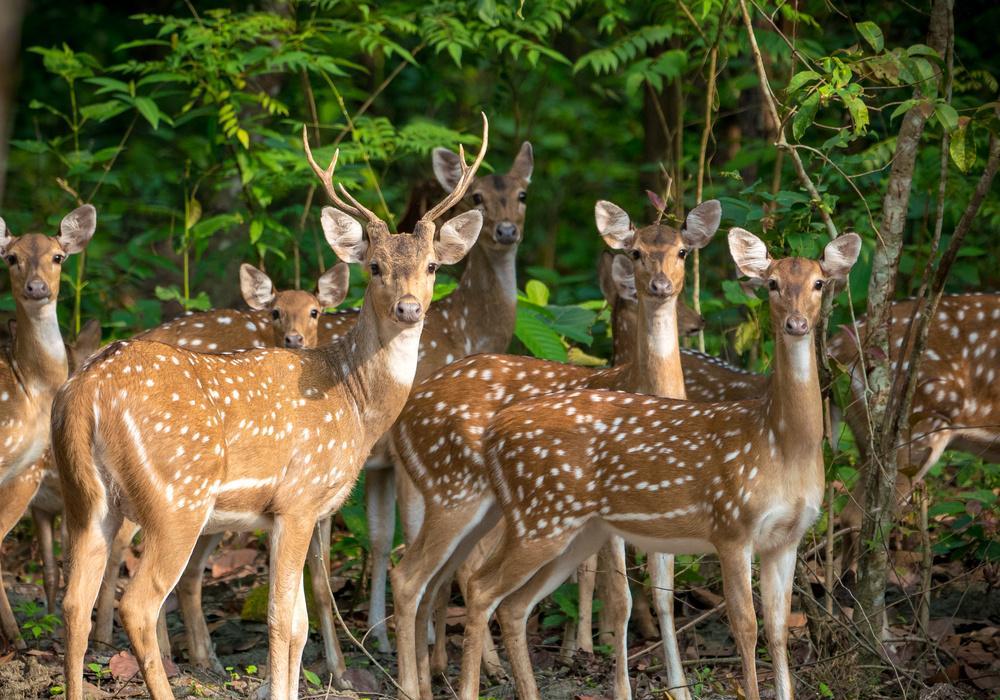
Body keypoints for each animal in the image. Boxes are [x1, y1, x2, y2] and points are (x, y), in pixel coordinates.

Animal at [458, 230, 864, 700]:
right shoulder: (731, 525)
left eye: (819, 283)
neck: (780, 445)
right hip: (540, 518)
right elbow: (746, 628)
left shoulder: (787, 538)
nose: (796, 324)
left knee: (514, 606)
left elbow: (778, 629)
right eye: (773, 283)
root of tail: (492, 435)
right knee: (481, 588)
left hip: (576, 531)